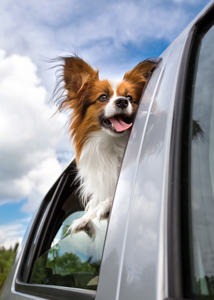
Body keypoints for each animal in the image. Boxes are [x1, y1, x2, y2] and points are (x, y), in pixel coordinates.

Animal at [53, 54, 157, 237]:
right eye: (103, 97)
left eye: (129, 98)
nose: (122, 102)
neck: (113, 143)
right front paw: (83, 219)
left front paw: (105, 206)